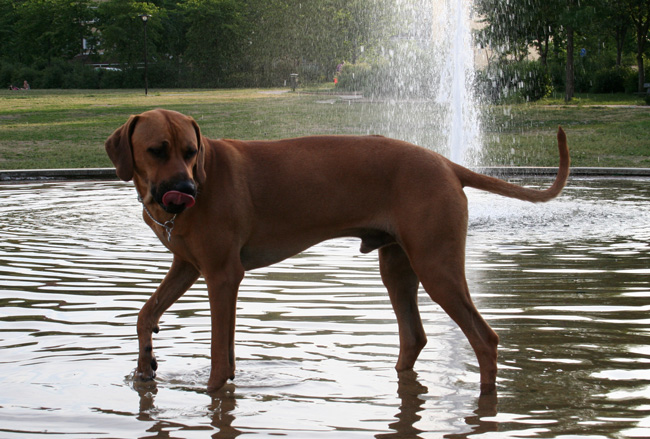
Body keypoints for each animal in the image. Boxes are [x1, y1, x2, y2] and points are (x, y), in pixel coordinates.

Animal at [105, 109, 568, 396]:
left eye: (191, 151)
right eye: (157, 150)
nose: (186, 190)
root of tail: (446, 163)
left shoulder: (222, 274)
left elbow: (221, 355)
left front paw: (214, 394)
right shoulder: (187, 266)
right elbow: (146, 313)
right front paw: (145, 365)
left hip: (437, 267)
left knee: (484, 338)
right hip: (397, 265)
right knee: (414, 336)